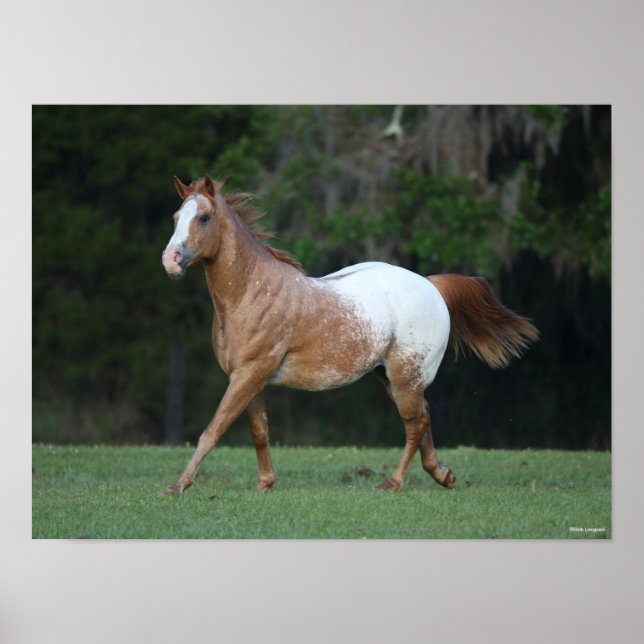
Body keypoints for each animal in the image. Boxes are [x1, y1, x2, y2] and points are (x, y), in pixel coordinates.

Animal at [161, 175, 538, 494]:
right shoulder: (248, 378)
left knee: (414, 424)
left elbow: (213, 430)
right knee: (424, 416)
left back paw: (393, 483)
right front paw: (265, 484)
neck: (251, 293)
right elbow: (259, 432)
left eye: (204, 217)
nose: (170, 260)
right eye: (176, 216)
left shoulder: (249, 374)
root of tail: (431, 285)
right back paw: (442, 475)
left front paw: (178, 486)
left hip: (406, 377)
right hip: (390, 377)